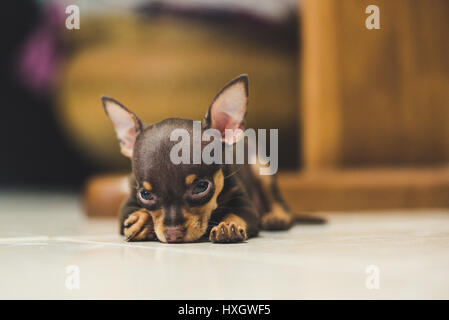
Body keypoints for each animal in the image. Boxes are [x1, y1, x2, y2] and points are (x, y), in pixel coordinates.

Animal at [100, 75, 320, 244]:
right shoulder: (127, 205)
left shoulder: (247, 207)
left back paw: (277, 217)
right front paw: (141, 220)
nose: (173, 234)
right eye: (145, 194)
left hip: (260, 168)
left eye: (201, 187)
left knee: (279, 202)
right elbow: (138, 213)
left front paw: (229, 225)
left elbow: (237, 213)